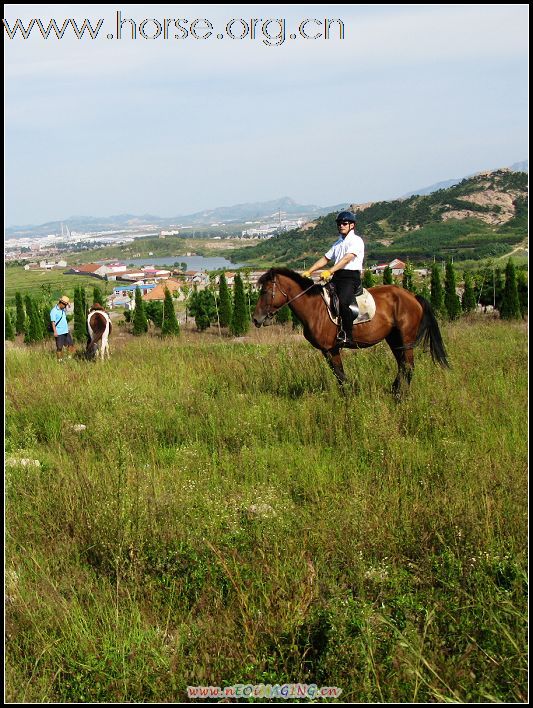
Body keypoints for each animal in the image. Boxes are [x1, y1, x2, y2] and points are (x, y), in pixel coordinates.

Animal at [252, 268, 448, 396]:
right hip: (394, 339)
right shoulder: (327, 350)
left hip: (405, 337)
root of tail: (412, 296)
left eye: (265, 291)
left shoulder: (330, 348)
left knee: (408, 366)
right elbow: (337, 373)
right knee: (402, 365)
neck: (314, 307)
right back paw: (395, 391)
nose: (255, 319)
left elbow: (339, 374)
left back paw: (401, 396)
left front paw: (349, 395)